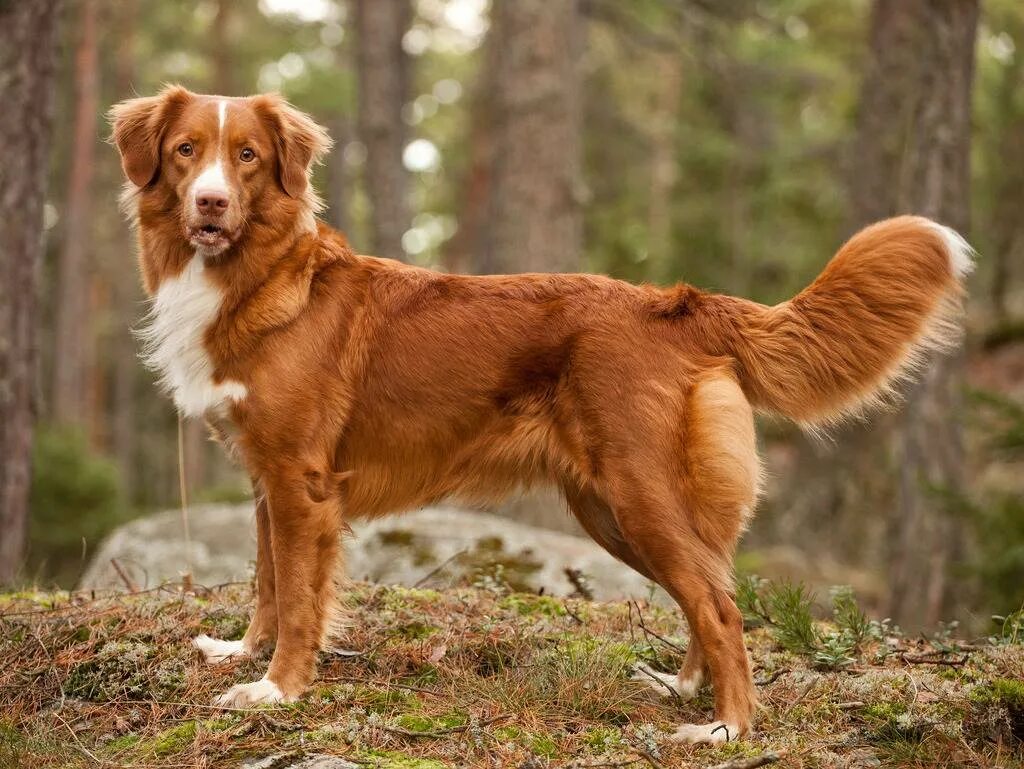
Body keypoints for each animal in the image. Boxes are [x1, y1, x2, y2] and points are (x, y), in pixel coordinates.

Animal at [108, 87, 970, 741]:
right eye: (186, 150)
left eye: (248, 156)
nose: (211, 201)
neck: (257, 277)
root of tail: (678, 304)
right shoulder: (266, 478)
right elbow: (265, 580)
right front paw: (239, 652)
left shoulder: (300, 482)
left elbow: (297, 595)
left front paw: (279, 688)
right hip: (610, 510)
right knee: (708, 589)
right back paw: (683, 689)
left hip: (637, 493)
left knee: (723, 607)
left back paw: (725, 727)